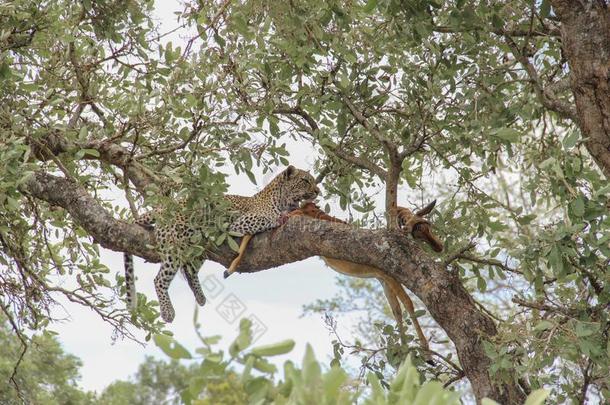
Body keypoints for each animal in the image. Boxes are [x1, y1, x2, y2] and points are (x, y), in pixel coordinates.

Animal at [126, 165, 320, 322]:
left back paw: (200, 296)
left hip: (196, 247)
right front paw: (281, 217)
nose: (318, 191)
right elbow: (270, 218)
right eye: (305, 181)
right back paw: (168, 311)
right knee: (160, 279)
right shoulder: (241, 223)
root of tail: (163, 208)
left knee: (188, 269)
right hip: (174, 244)